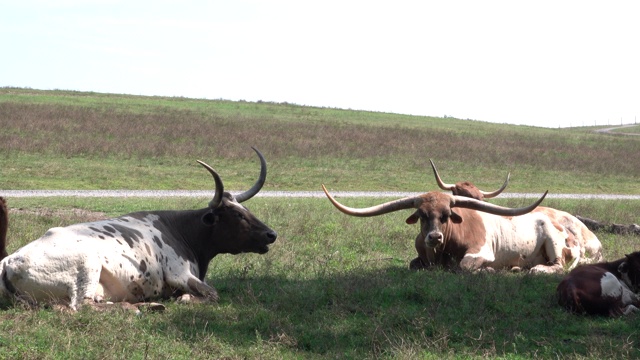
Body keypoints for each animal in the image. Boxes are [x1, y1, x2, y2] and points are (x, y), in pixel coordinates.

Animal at [1, 147, 278, 310]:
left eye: (245, 209)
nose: (271, 234)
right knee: (85, 305)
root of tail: (9, 262)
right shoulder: (180, 274)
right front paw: (185, 298)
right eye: (237, 215)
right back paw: (139, 306)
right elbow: (212, 293)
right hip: (88, 267)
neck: (182, 231)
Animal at [322, 186, 568, 272]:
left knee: (557, 265)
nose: (434, 237)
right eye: (422, 215)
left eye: (446, 215)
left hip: (554, 243)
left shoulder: (481, 252)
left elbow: (464, 266)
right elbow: (413, 264)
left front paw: (488, 270)